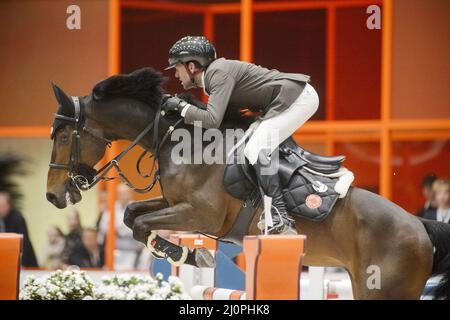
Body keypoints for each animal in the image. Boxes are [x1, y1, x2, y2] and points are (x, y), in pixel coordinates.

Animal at [46, 67, 450, 300]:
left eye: (64, 136)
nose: (52, 196)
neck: (180, 141)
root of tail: (421, 226)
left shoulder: (201, 216)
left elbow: (142, 224)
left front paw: (185, 253)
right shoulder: (175, 205)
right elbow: (132, 214)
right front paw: (187, 253)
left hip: (386, 288)